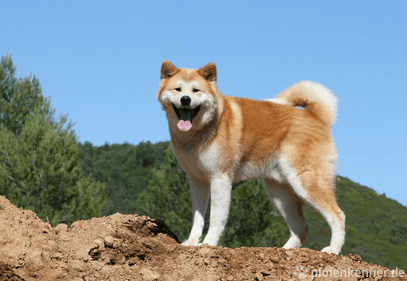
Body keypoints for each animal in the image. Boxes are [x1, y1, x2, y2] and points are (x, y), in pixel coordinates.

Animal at [158, 60, 346, 254]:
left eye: (196, 90)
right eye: (178, 89)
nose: (185, 100)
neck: (201, 130)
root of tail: (317, 118)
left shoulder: (220, 178)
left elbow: (216, 218)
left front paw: (208, 244)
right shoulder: (197, 181)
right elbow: (197, 217)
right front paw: (191, 241)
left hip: (307, 184)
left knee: (338, 216)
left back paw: (333, 249)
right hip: (280, 193)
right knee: (301, 226)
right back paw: (282, 251)